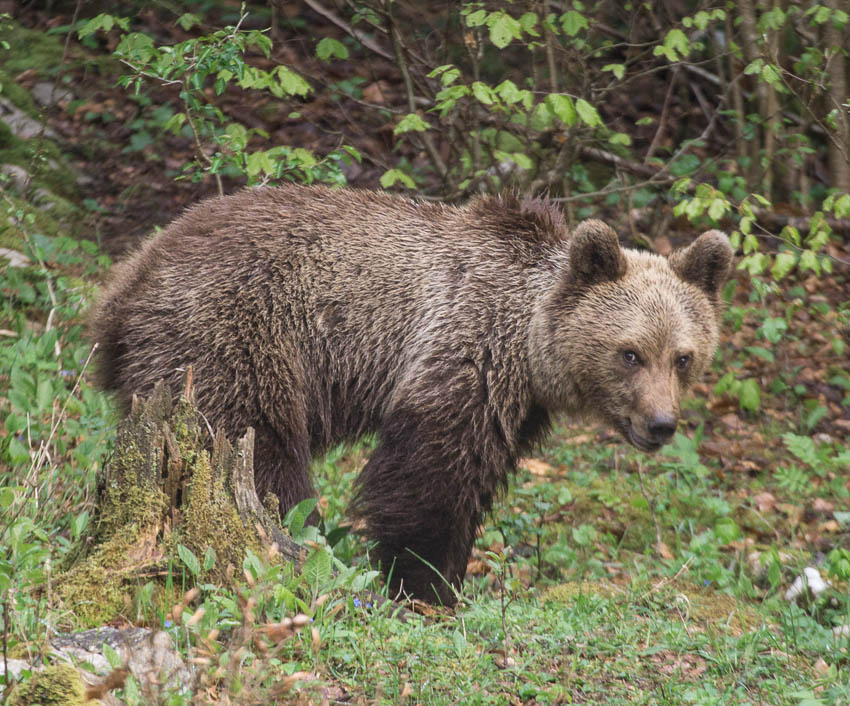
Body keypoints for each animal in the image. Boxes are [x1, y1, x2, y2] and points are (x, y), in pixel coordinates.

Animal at [89, 184, 732, 604]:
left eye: (683, 356)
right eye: (630, 353)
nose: (660, 424)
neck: (529, 344)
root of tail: (130, 276)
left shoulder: (514, 403)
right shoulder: (464, 353)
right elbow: (429, 477)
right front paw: (426, 582)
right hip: (232, 336)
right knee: (260, 449)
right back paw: (301, 538)